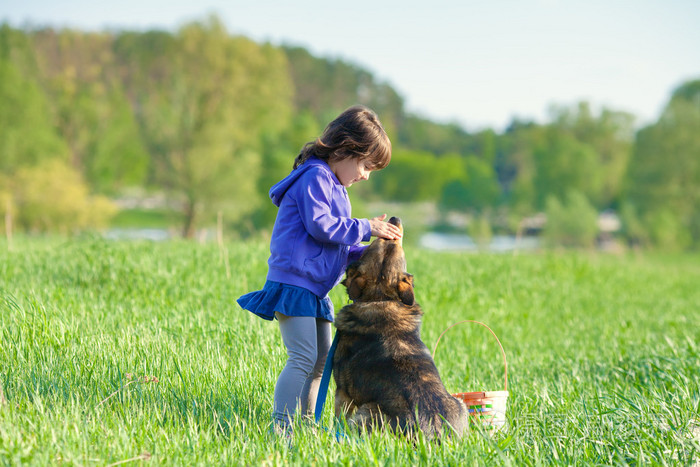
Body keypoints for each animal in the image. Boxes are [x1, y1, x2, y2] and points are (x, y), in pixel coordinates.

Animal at [332, 217, 468, 438]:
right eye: (386, 242)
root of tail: (433, 432)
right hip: (461, 403)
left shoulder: (342, 392)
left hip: (366, 412)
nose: (394, 219)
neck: (380, 297)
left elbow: (337, 418)